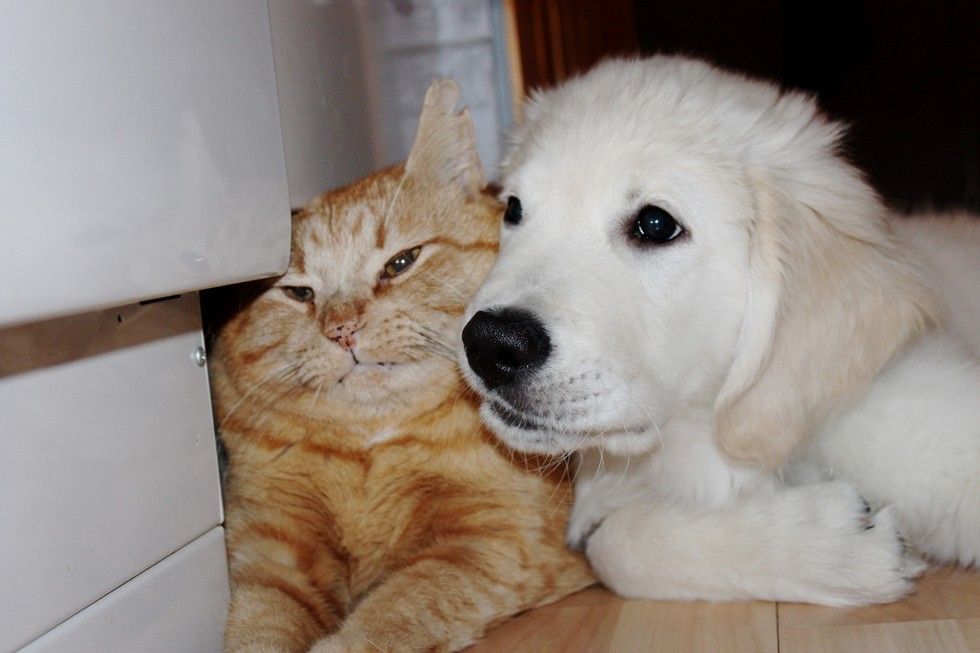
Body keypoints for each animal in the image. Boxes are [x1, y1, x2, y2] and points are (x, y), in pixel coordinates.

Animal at [208, 79, 592, 648]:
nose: (343, 329)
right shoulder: (270, 552)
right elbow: (259, 627)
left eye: (401, 263)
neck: (372, 449)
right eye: (298, 293)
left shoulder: (492, 542)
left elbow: (398, 609)